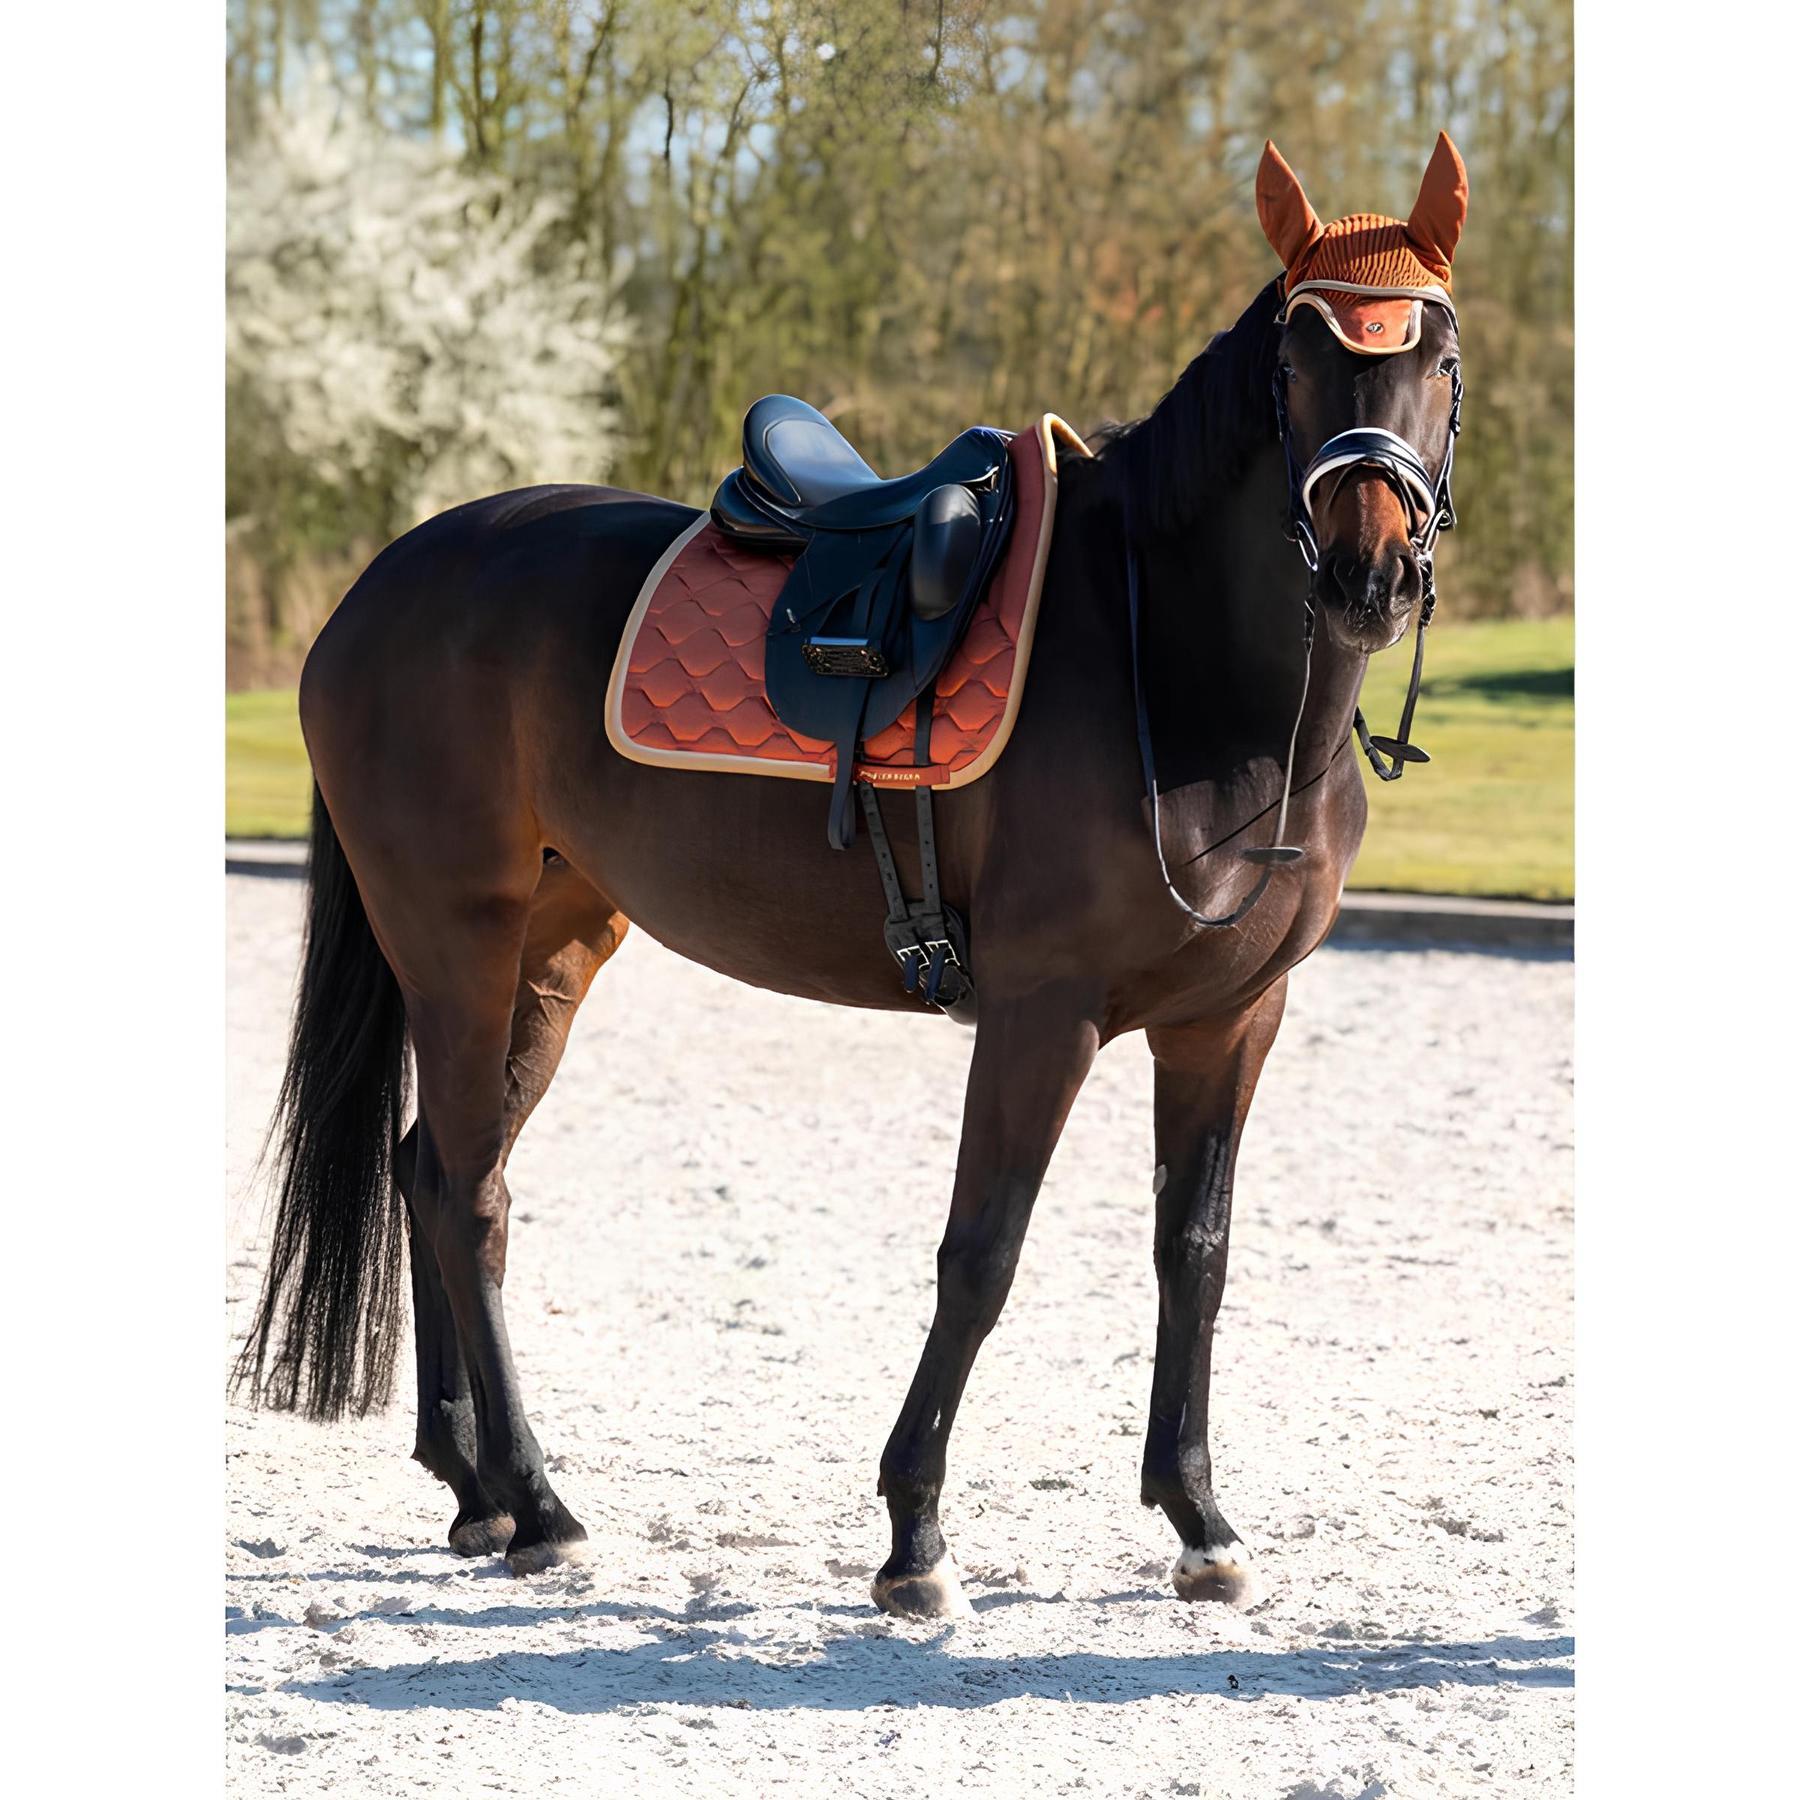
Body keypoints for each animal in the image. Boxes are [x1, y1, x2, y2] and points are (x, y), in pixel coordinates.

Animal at [236, 135, 1469, 1618]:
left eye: (1441, 354)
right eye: (1296, 360)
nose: (1366, 576)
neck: (1182, 670)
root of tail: (378, 587)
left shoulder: (1232, 1019)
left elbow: (1197, 1255)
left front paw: (1198, 1517)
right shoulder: (1042, 1013)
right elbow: (982, 1255)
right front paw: (915, 1535)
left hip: (550, 949)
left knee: (430, 1171)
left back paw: (473, 1487)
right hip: (452, 943)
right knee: (471, 1192)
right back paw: (538, 1504)